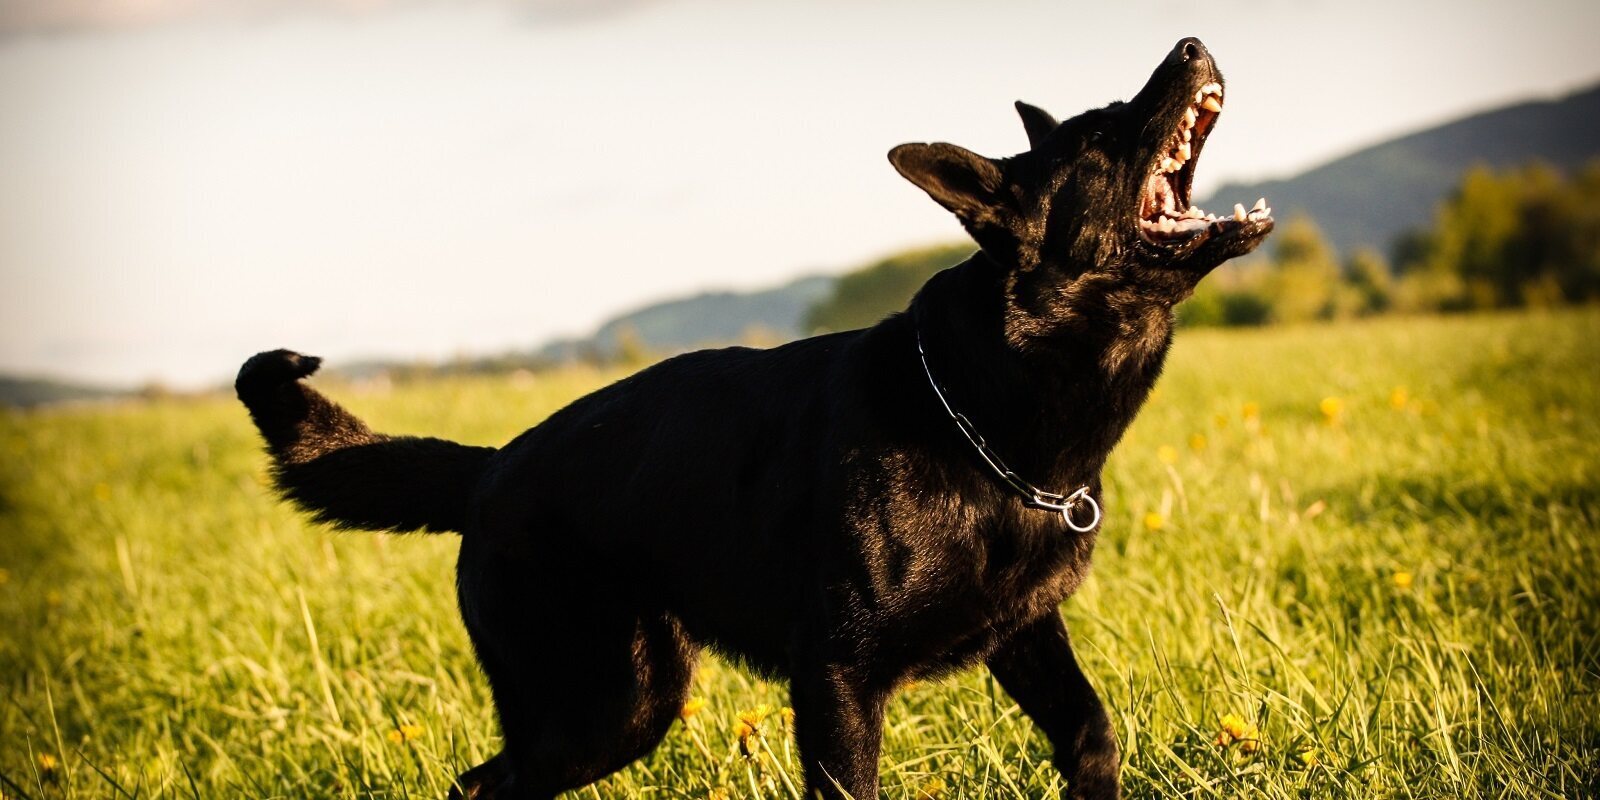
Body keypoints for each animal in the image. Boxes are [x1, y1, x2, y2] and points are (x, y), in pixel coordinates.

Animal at [233, 37, 1273, 800]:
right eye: (1103, 135)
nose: (1191, 42)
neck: (984, 418)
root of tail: (490, 467)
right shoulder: (839, 685)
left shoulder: (1024, 636)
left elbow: (1091, 733)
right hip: (609, 705)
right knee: (485, 786)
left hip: (615, 707)